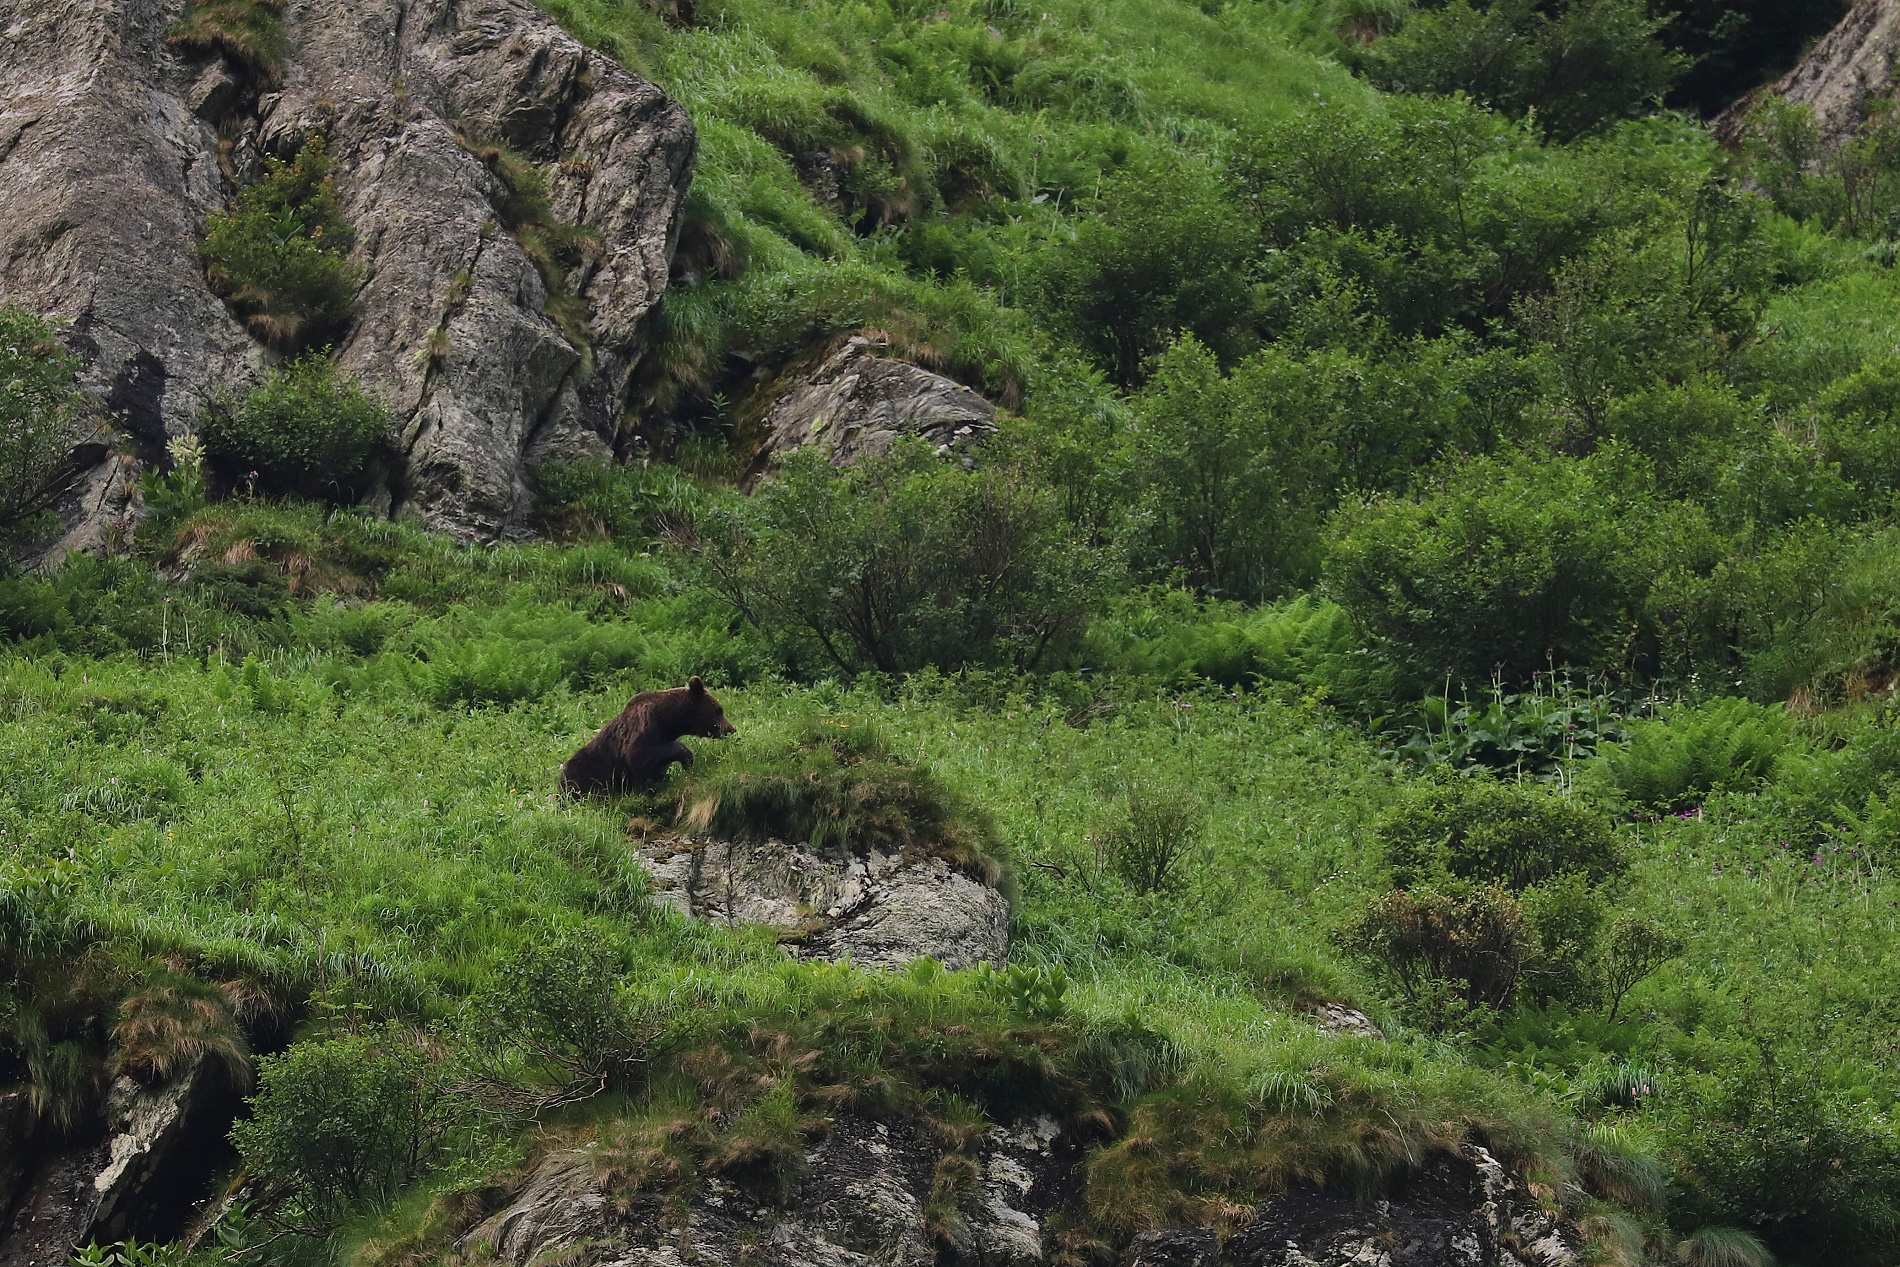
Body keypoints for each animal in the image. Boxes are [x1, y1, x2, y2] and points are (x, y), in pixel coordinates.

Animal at [554, 672, 733, 794]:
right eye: (719, 710)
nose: (731, 728)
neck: (667, 719)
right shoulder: (644, 726)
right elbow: (639, 754)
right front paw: (687, 758)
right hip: (585, 772)